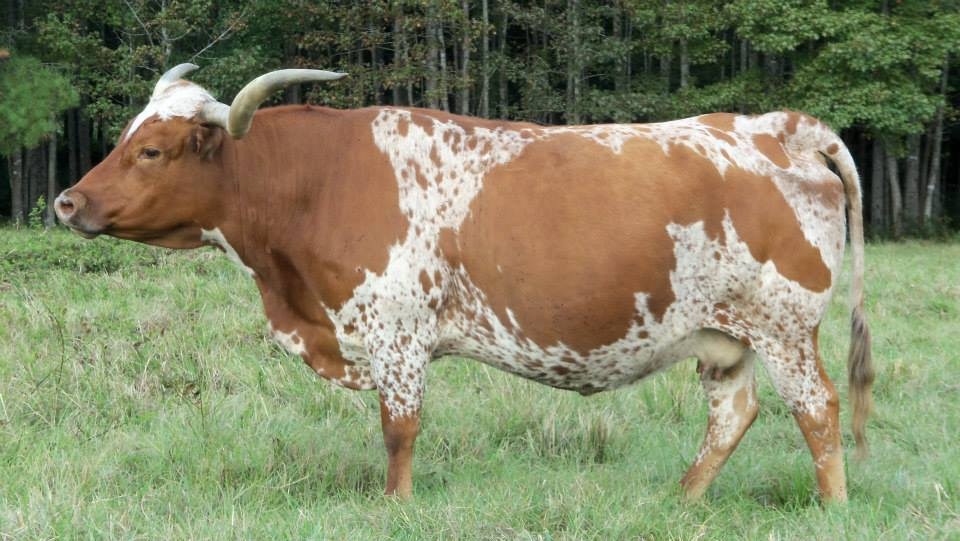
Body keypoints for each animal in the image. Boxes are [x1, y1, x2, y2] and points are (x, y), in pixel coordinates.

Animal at [55, 64, 873, 502]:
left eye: (152, 150)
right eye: (126, 137)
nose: (67, 202)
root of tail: (777, 125)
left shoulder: (397, 334)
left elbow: (399, 429)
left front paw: (396, 505)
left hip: (784, 327)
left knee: (818, 410)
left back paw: (831, 506)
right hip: (723, 335)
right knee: (734, 414)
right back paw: (681, 499)